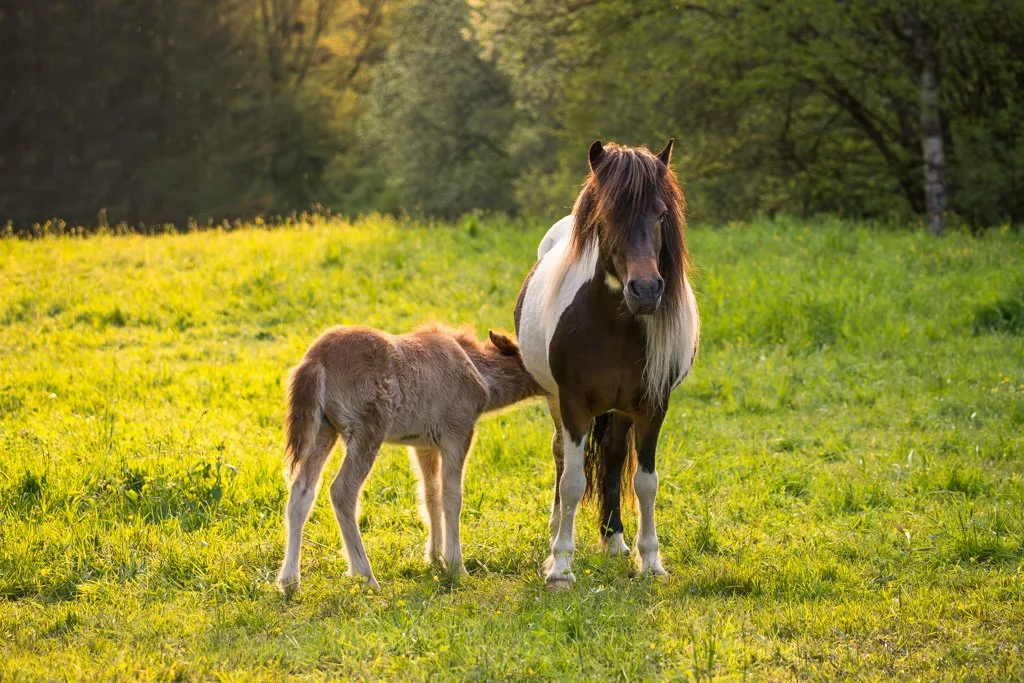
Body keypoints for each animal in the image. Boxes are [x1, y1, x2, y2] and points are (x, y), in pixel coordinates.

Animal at [276, 323, 544, 594]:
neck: (479, 370)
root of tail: (316, 360)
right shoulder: (457, 434)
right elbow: (452, 497)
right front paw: (456, 565)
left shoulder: (423, 445)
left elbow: (430, 494)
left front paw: (435, 557)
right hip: (367, 431)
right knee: (342, 491)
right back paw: (365, 575)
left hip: (323, 429)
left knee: (301, 490)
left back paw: (289, 581)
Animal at [515, 139, 700, 589]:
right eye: (609, 213)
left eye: (661, 213)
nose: (646, 289)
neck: (613, 324)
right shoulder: (573, 403)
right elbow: (572, 481)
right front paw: (561, 565)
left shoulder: (653, 405)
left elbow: (645, 482)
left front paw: (650, 561)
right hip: (556, 402)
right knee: (561, 456)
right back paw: (555, 534)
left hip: (620, 410)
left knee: (614, 459)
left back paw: (614, 539)